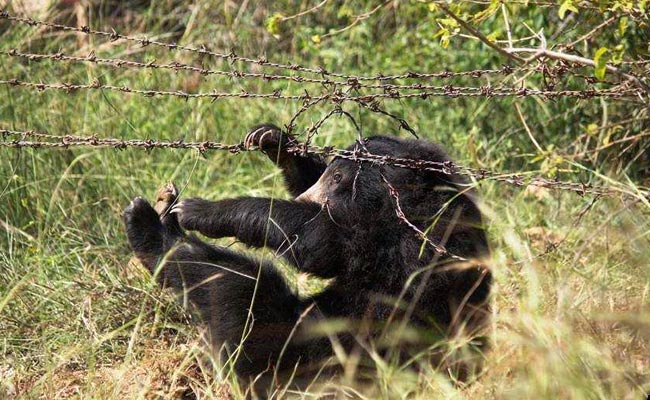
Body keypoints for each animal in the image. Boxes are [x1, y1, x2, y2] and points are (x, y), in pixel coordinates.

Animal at [121, 124, 488, 394]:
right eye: (330, 172)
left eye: (338, 178)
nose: (306, 198)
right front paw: (273, 140)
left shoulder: (401, 241)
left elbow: (318, 243)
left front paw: (201, 211)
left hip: (319, 351)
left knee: (238, 287)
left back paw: (151, 224)